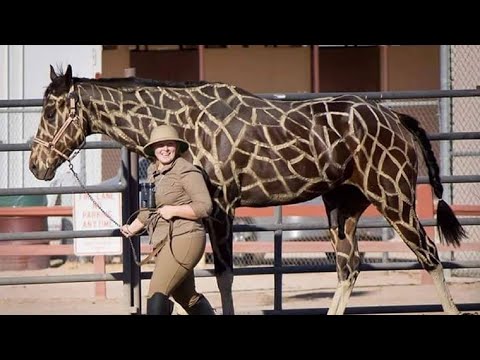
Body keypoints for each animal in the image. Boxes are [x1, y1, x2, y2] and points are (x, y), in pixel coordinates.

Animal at [29, 65, 464, 316]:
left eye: (50, 110)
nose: (36, 165)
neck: (181, 123)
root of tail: (398, 120)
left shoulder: (221, 204)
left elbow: (224, 278)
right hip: (344, 205)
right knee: (349, 267)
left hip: (393, 196)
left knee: (429, 255)